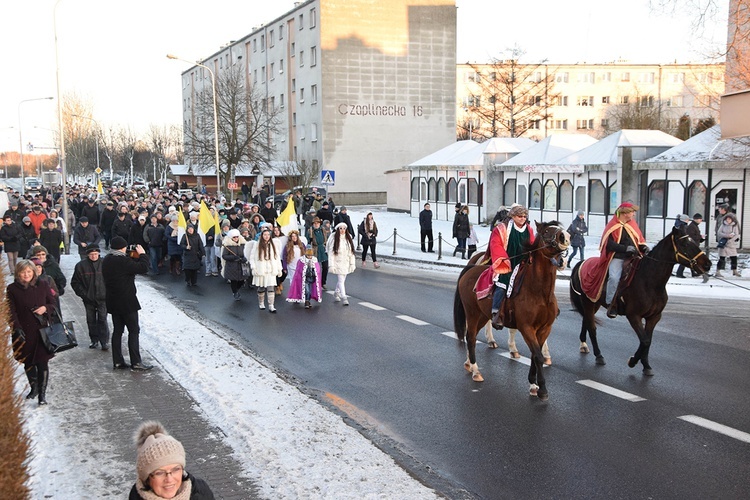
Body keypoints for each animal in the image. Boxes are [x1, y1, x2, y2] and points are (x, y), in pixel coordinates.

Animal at [452, 221, 568, 400]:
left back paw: (469, 364)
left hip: (482, 316)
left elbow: (535, 355)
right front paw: (542, 389)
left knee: (472, 336)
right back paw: (476, 371)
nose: (565, 237)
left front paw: (533, 384)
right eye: (547, 231)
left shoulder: (544, 329)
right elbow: (538, 356)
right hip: (472, 314)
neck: (539, 292)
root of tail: (471, 268)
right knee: (470, 338)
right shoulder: (527, 327)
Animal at [572, 227, 712, 376]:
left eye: (695, 241)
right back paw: (598, 355)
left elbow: (648, 341)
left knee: (587, 321)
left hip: (594, 303)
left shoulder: (654, 317)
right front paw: (632, 361)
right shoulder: (634, 316)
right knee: (592, 327)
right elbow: (644, 341)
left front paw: (646, 365)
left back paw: (584, 345)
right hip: (588, 302)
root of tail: (581, 263)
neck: (650, 282)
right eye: (684, 244)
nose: (708, 264)